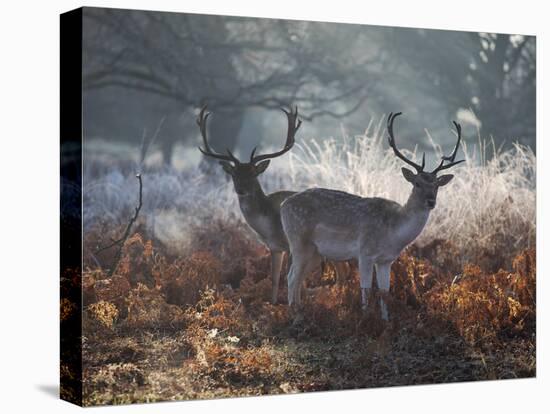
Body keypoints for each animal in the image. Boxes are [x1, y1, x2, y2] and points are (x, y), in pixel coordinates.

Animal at [198, 105, 352, 302]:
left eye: (253, 173)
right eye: (234, 174)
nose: (241, 189)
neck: (269, 226)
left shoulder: (291, 244)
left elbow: (291, 277)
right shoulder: (274, 247)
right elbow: (274, 278)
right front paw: (273, 303)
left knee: (343, 274)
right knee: (343, 274)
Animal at [280, 112, 466, 320]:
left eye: (436, 185)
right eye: (417, 183)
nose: (430, 201)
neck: (393, 234)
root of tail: (283, 205)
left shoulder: (386, 260)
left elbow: (385, 292)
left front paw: (385, 321)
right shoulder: (365, 252)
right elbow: (366, 289)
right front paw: (365, 318)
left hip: (314, 252)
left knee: (298, 278)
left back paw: (300, 311)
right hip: (298, 241)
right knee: (291, 277)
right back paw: (295, 315)